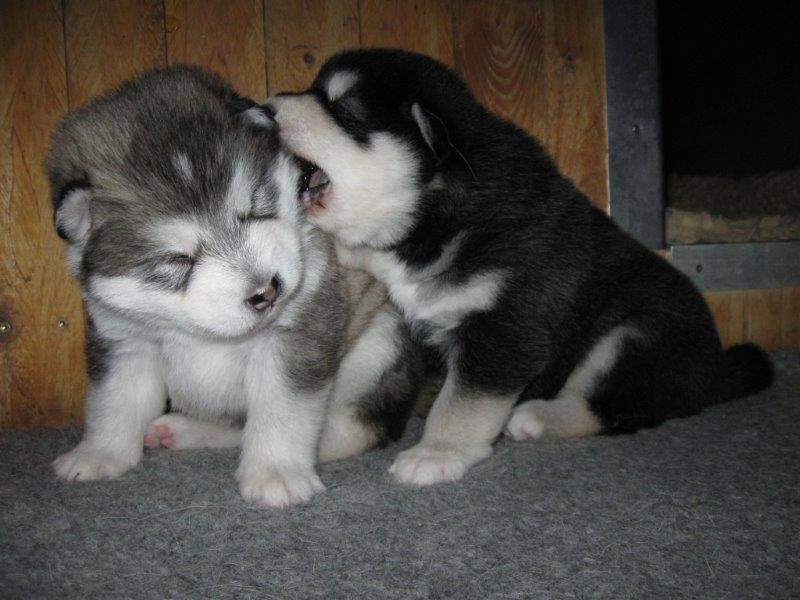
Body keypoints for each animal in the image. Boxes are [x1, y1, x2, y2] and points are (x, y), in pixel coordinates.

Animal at [46, 66, 422, 507]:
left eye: (255, 209)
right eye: (178, 260)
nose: (268, 292)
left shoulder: (296, 332)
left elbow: (282, 408)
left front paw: (276, 473)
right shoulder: (124, 337)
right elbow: (114, 399)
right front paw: (98, 455)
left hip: (380, 343)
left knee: (364, 423)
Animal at [265, 49, 774, 486]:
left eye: (343, 106)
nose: (268, 107)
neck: (439, 211)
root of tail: (713, 372)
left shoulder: (507, 326)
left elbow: (462, 402)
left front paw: (436, 454)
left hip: (634, 335)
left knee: (617, 406)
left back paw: (539, 415)